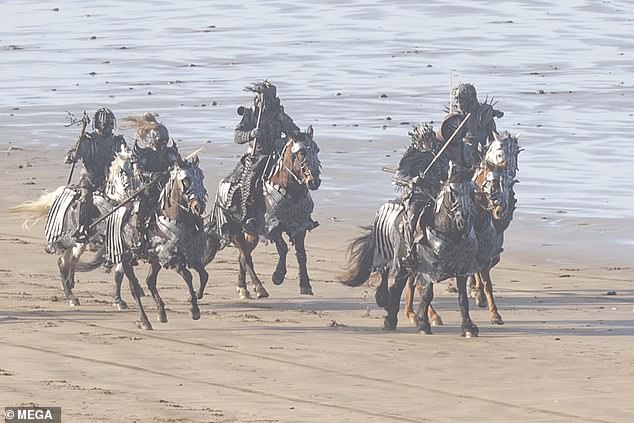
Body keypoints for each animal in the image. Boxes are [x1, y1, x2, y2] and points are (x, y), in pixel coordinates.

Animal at [211, 127, 320, 300]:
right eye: (301, 152)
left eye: (317, 150)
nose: (314, 181)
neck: (290, 189)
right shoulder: (272, 227)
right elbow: (283, 248)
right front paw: (278, 276)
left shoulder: (301, 226)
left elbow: (301, 254)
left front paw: (306, 286)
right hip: (235, 231)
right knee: (246, 257)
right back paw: (259, 288)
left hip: (252, 234)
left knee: (242, 257)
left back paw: (243, 288)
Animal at [338, 163, 476, 338]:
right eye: (453, 192)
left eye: (473, 192)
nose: (464, 221)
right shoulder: (428, 269)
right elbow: (427, 294)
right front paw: (423, 324)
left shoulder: (462, 269)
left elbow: (462, 298)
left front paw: (469, 327)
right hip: (390, 257)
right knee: (386, 276)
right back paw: (384, 302)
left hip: (405, 264)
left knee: (398, 286)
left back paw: (390, 319)